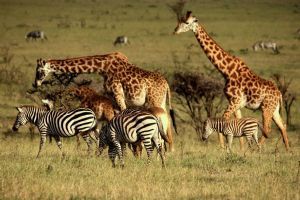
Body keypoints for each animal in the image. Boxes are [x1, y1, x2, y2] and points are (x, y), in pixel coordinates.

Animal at [34, 51, 177, 152]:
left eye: (39, 71)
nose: (35, 84)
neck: (103, 67)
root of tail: (166, 84)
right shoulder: (112, 98)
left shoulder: (117, 94)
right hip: (161, 101)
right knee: (167, 123)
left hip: (154, 101)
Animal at [173, 10, 290, 151]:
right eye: (180, 20)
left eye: (186, 22)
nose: (175, 31)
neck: (226, 71)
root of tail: (279, 94)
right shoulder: (236, 103)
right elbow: (237, 121)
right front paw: (240, 149)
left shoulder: (235, 101)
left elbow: (223, 120)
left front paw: (223, 148)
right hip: (274, 108)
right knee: (282, 126)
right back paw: (288, 150)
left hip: (266, 107)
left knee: (268, 128)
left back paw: (258, 149)